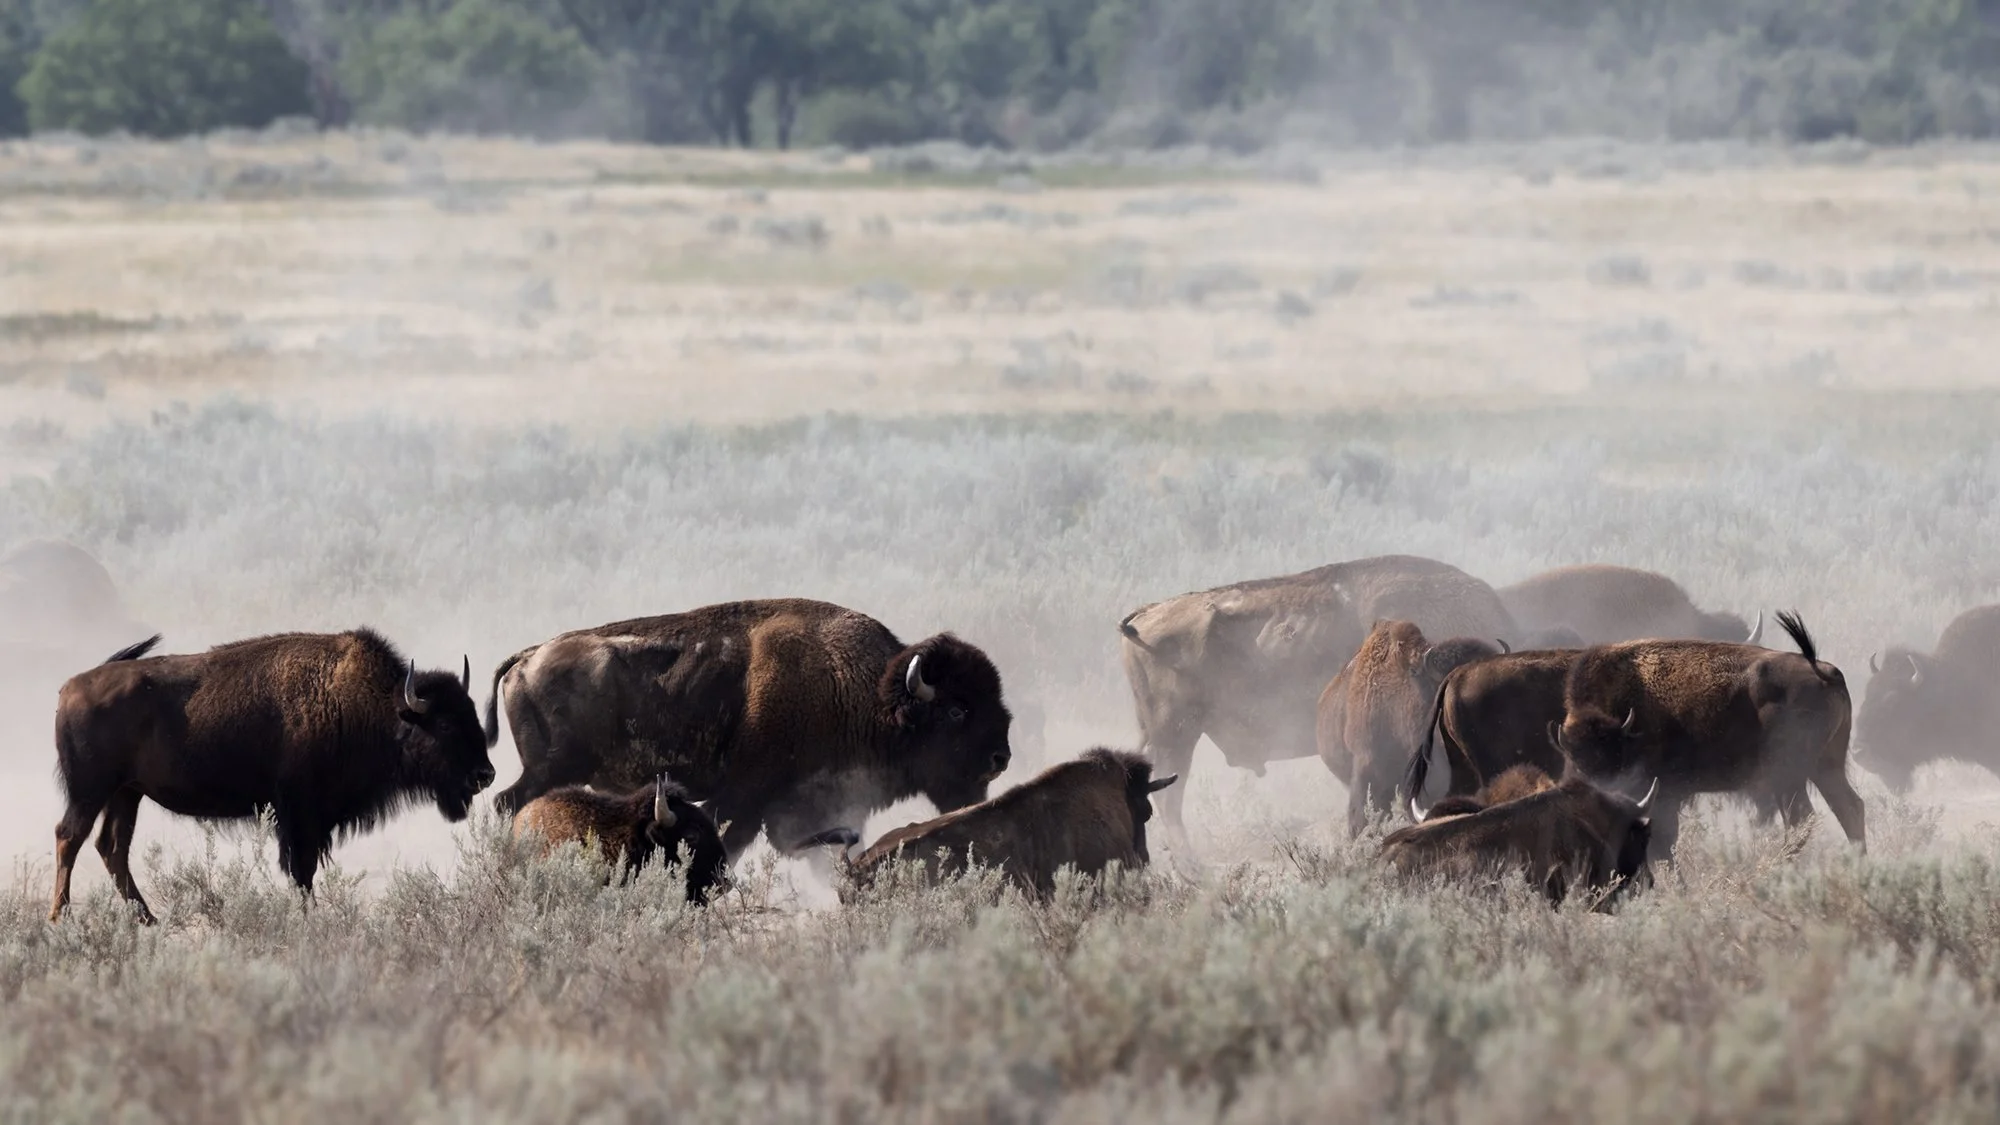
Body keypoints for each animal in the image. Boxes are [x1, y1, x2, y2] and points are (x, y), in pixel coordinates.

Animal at [50, 630, 495, 923]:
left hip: (127, 793)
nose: (485, 774)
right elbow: (301, 870)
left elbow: (305, 870)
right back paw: (61, 917)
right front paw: (309, 919)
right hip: (91, 790)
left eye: (473, 714)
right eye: (445, 725)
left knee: (112, 847)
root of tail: (69, 687)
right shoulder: (299, 813)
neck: (370, 706)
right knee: (69, 836)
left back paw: (147, 919)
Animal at [486, 598, 1012, 864]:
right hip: (551, 770)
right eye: (956, 711)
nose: (1000, 758)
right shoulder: (744, 797)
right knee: (508, 804)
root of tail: (529, 656)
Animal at [1552, 610, 1863, 859]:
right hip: (1825, 767)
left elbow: (1664, 843)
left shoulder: (1663, 795)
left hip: (1788, 776)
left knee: (1801, 819)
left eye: (1615, 756)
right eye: (1575, 760)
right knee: (1850, 808)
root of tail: (1824, 672)